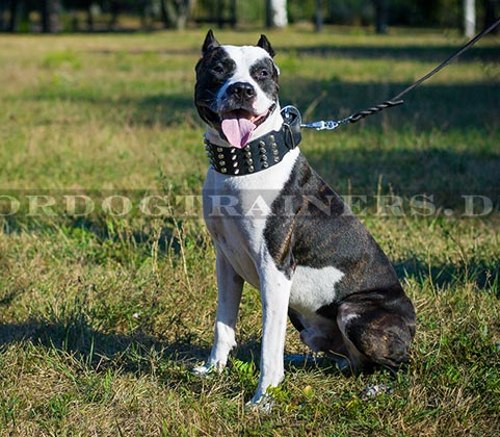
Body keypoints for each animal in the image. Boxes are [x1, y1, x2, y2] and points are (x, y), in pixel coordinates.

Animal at [191, 29, 414, 406]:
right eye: (219, 68)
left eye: (262, 73)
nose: (242, 89)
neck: (243, 163)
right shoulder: (226, 260)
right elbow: (223, 322)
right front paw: (214, 369)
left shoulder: (275, 267)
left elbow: (269, 341)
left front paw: (263, 398)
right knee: (351, 363)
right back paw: (303, 360)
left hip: (353, 312)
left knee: (396, 366)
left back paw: (377, 386)